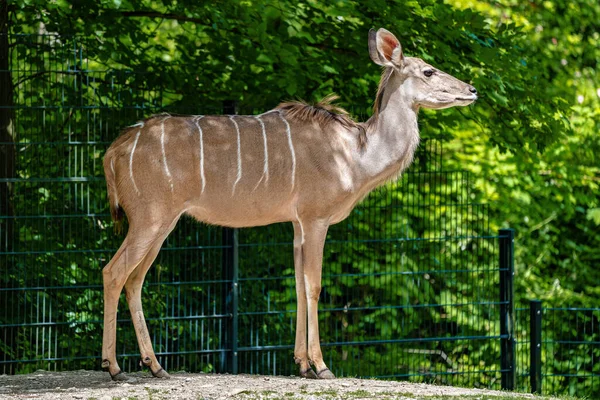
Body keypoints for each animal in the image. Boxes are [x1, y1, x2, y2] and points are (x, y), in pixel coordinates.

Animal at [103, 28, 478, 382]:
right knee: (114, 272)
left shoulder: (297, 224)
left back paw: (155, 366)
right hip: (151, 218)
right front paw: (321, 366)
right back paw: (114, 368)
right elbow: (314, 285)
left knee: (134, 280)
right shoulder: (315, 219)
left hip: (163, 223)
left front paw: (301, 365)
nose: (472, 89)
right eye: (429, 71)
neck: (356, 153)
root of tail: (114, 149)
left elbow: (298, 285)